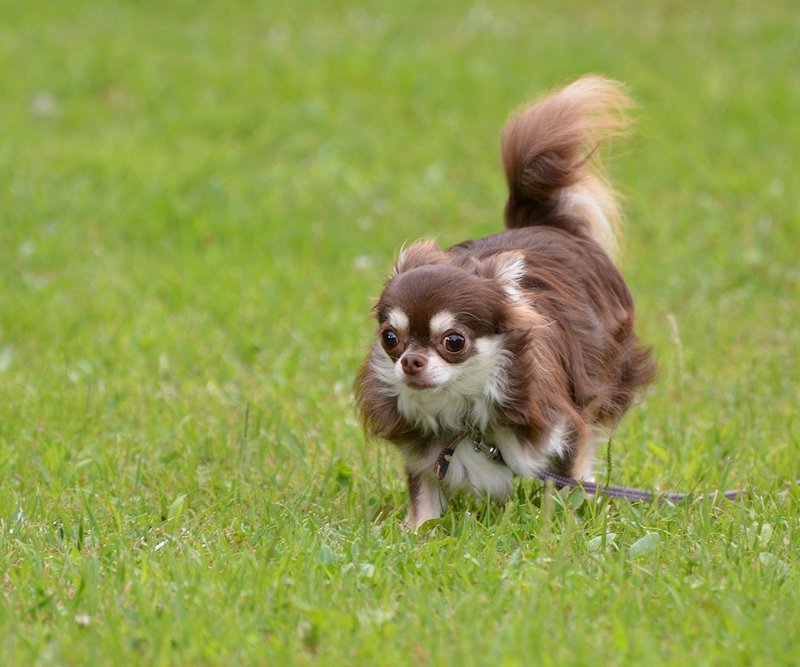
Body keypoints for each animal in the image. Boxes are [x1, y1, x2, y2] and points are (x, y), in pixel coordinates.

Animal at [354, 75, 652, 528]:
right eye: (390, 338)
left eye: (454, 341)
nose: (410, 361)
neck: (462, 412)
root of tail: (544, 223)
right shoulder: (424, 456)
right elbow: (423, 496)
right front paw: (417, 530)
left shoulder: (565, 427)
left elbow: (565, 483)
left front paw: (560, 526)